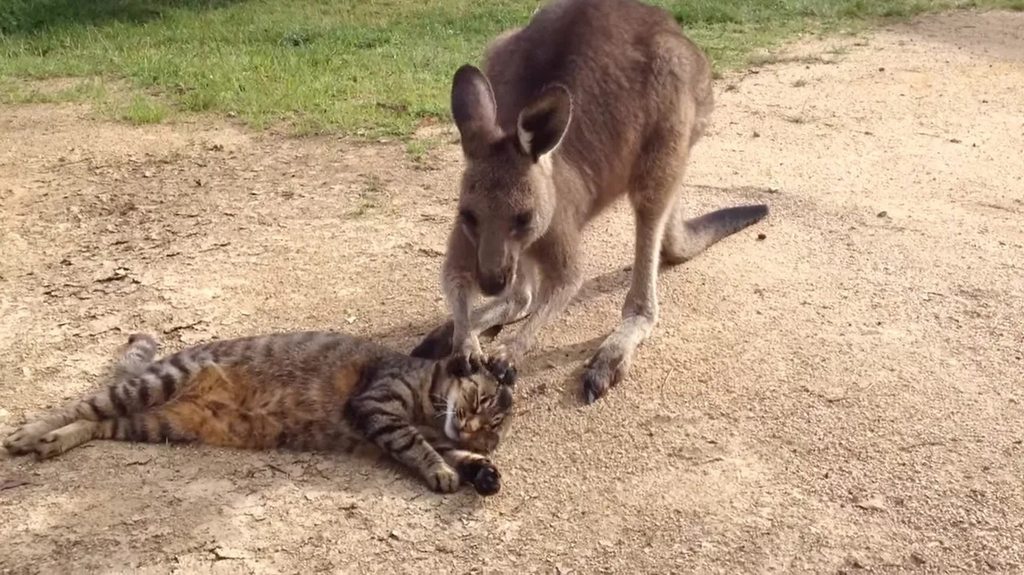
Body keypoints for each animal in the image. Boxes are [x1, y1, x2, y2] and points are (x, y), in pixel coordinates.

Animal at [4, 329, 516, 495]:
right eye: (482, 405)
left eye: (492, 428)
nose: (478, 433)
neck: (432, 409)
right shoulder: (377, 406)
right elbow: (418, 446)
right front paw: (442, 472)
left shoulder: (440, 434)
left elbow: (458, 456)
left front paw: (484, 473)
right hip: (153, 386)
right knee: (78, 404)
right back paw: (30, 433)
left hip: (156, 423)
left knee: (95, 423)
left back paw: (54, 441)